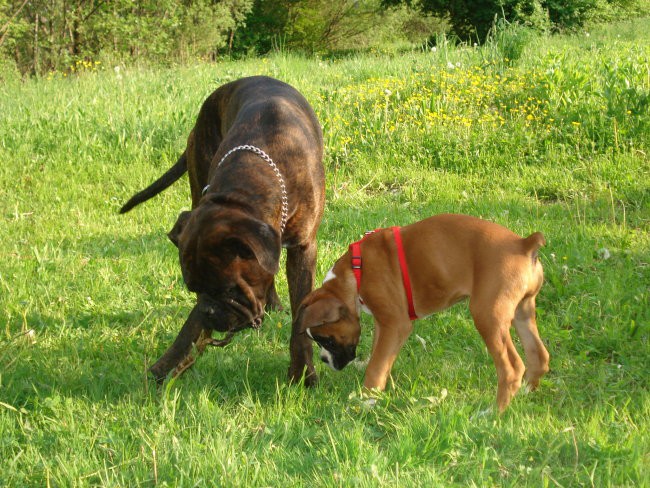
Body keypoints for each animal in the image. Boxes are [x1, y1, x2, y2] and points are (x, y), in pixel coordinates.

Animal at [119, 74, 324, 384]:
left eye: (229, 290)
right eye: (194, 289)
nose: (208, 312)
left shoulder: (303, 249)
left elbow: (301, 316)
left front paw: (301, 374)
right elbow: (190, 328)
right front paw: (166, 365)